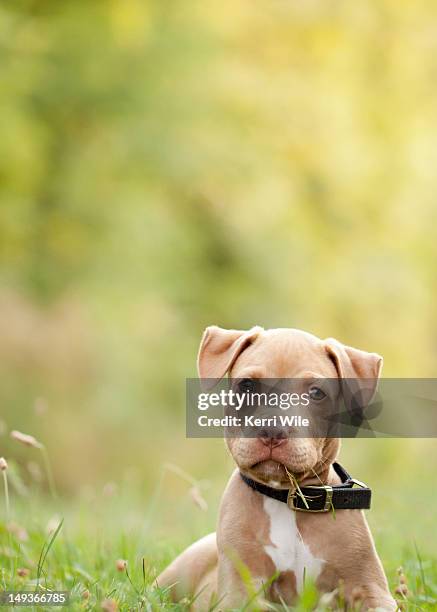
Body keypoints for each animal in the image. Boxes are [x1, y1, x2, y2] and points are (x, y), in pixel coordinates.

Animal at [157, 328, 396, 608]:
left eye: (316, 393)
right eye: (247, 385)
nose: (272, 429)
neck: (287, 498)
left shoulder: (370, 588)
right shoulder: (240, 592)